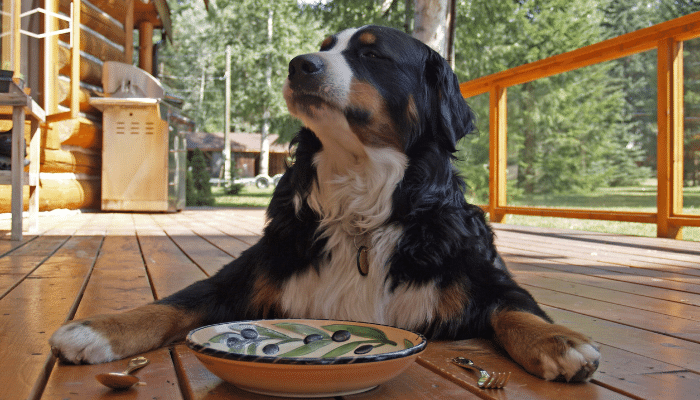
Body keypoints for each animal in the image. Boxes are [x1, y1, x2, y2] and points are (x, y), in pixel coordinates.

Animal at [49, 24, 600, 382]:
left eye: (373, 56)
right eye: (323, 48)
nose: (299, 65)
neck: (361, 206)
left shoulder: (482, 276)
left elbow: (516, 311)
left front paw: (561, 341)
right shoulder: (248, 273)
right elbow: (175, 303)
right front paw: (99, 329)